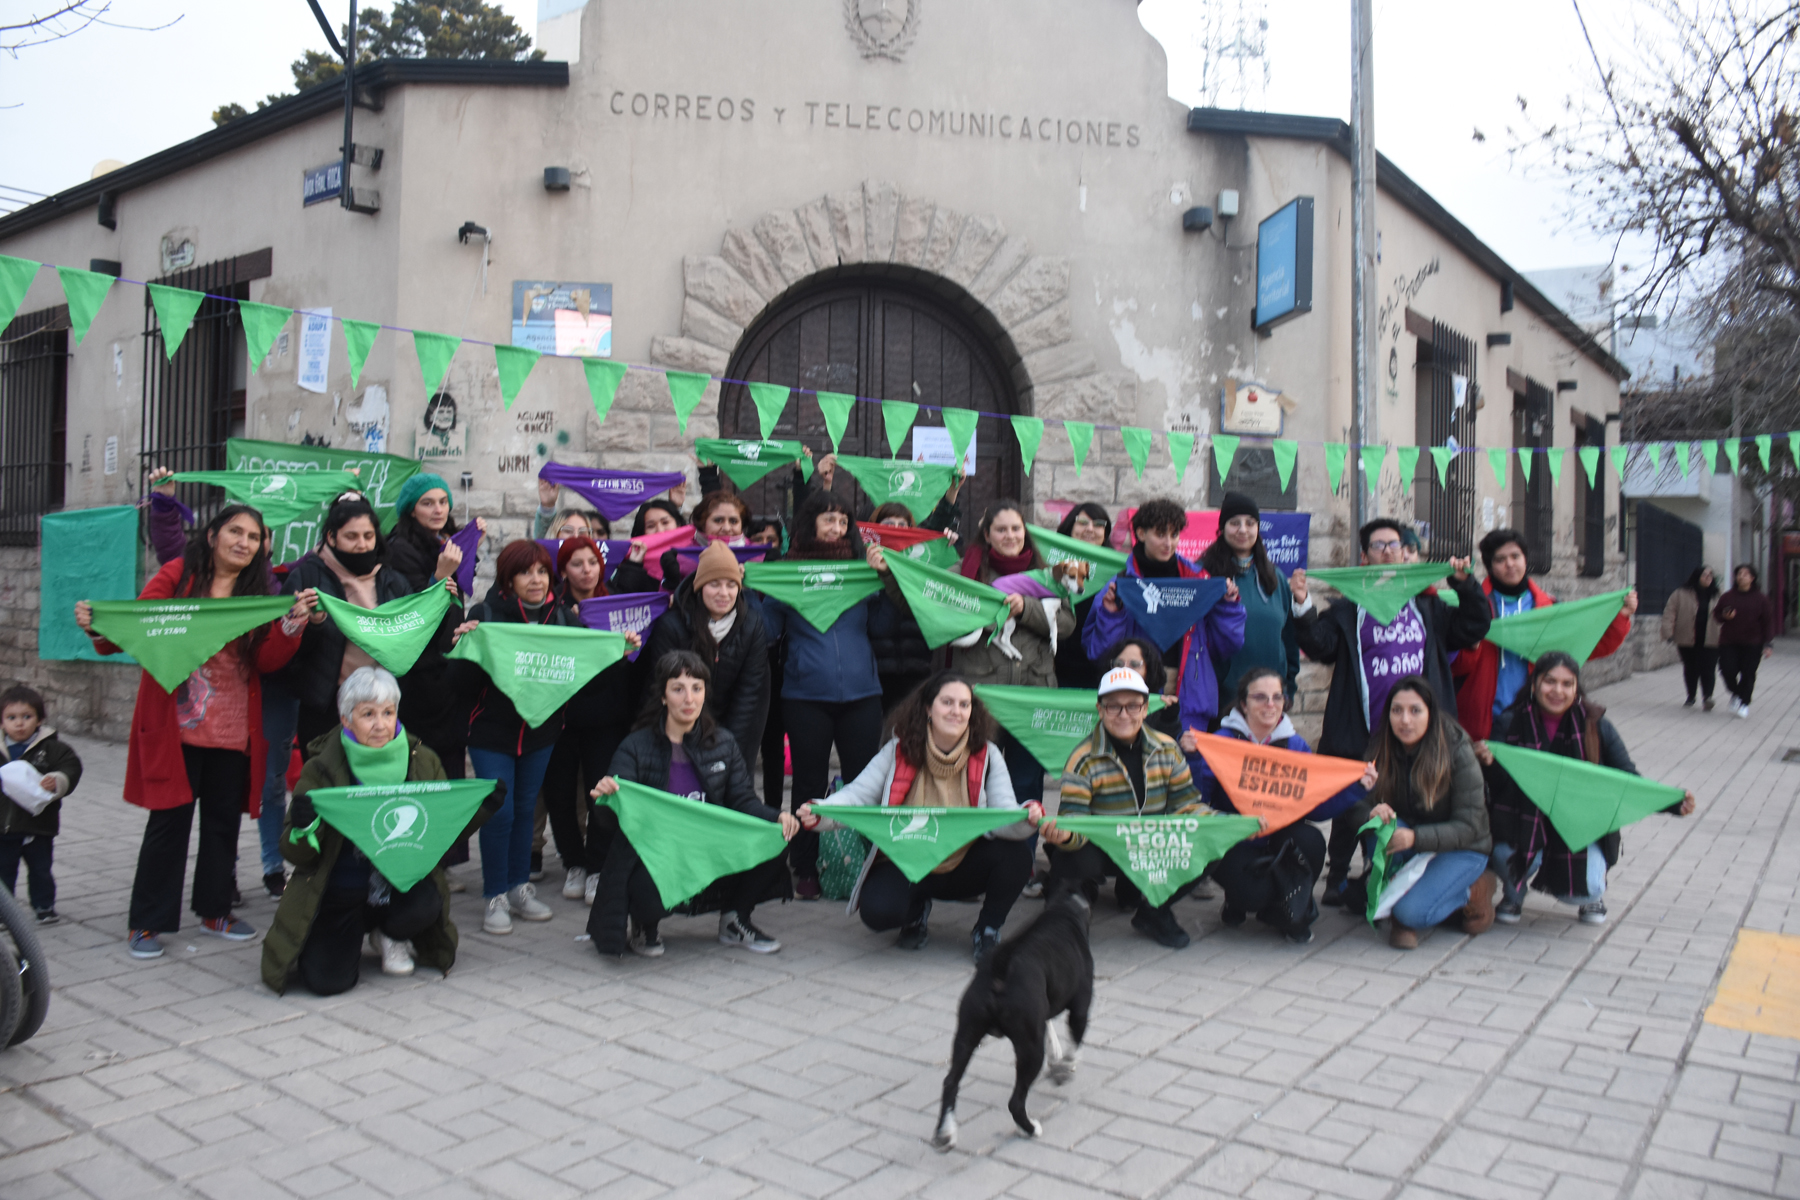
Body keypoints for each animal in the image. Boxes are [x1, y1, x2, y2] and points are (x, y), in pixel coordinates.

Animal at [936, 888, 1087, 1151]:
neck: (1063, 908)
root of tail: (1000, 970)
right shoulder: (1081, 1005)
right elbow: (1075, 1042)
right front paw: (1065, 1066)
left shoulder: (1042, 1010)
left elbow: (1049, 1027)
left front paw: (1057, 1057)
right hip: (1030, 1050)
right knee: (1016, 1101)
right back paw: (1030, 1129)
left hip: (966, 1033)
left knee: (950, 1082)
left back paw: (946, 1134)